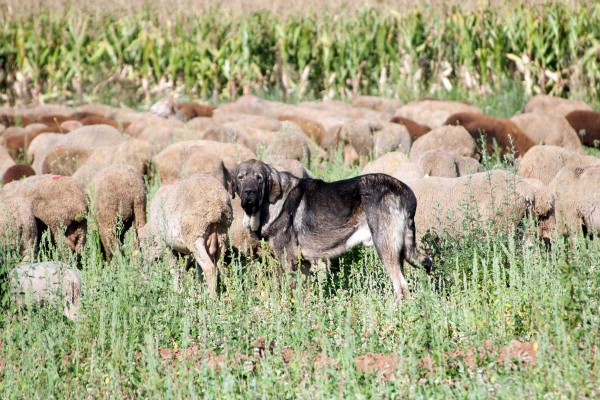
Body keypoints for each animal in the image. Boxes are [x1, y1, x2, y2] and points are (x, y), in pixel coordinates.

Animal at [230, 159, 432, 300]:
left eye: (259, 178)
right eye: (241, 177)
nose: (249, 193)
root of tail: (406, 192)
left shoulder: (288, 260)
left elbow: (290, 291)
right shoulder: (303, 264)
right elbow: (304, 293)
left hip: (385, 248)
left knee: (402, 289)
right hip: (399, 252)